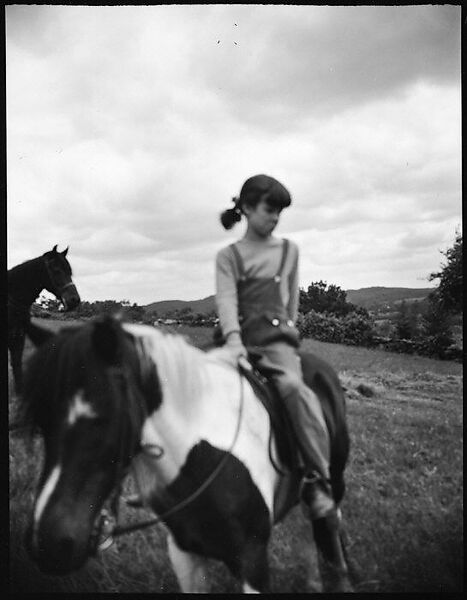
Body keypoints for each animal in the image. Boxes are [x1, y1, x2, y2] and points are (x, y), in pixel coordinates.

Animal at [20, 316, 352, 592]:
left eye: (104, 417)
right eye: (42, 421)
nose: (48, 544)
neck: (204, 456)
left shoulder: (252, 559)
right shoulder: (185, 554)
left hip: (333, 481)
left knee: (330, 522)